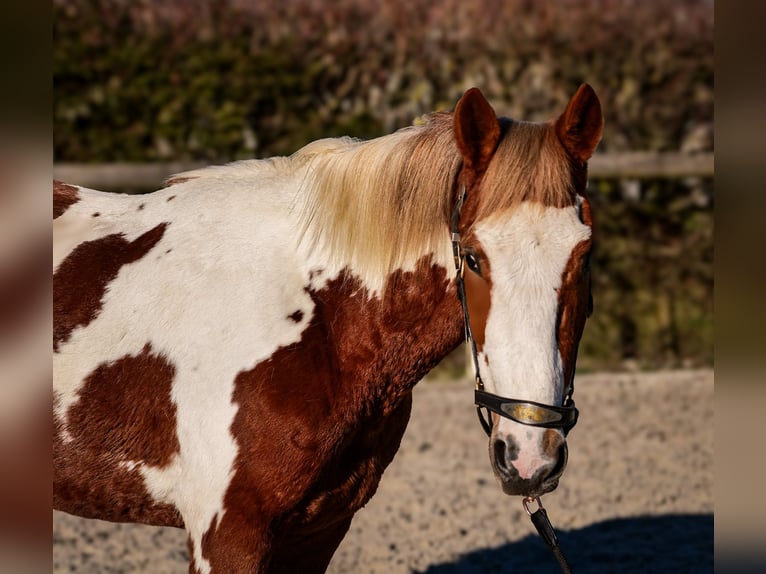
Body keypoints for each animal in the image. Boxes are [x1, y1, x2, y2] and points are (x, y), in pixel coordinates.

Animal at [54, 83, 608, 572]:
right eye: (472, 257)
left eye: (584, 256)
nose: (529, 458)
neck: (317, 319)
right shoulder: (227, 535)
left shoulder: (317, 530)